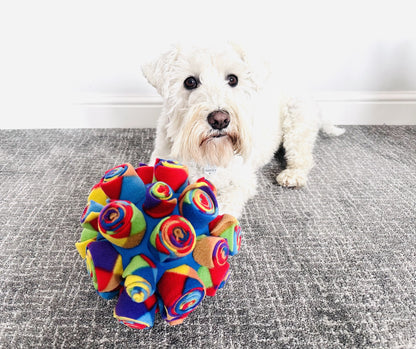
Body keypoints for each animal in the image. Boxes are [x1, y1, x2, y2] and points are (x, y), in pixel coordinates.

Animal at [141, 42, 342, 218]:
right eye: (190, 82)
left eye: (232, 79)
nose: (220, 120)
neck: (208, 154)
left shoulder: (241, 181)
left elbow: (224, 205)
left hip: (297, 123)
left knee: (303, 157)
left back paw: (292, 175)